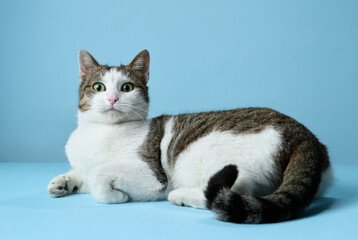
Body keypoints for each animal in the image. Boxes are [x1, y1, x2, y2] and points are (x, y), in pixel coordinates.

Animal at [46, 48, 332, 223]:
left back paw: (182, 196)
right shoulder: (84, 165)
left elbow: (98, 176)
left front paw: (116, 196)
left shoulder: (153, 177)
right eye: (99, 87)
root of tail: (305, 135)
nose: (113, 99)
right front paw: (62, 182)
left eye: (126, 87)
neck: (100, 132)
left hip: (201, 156)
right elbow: (82, 174)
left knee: (232, 192)